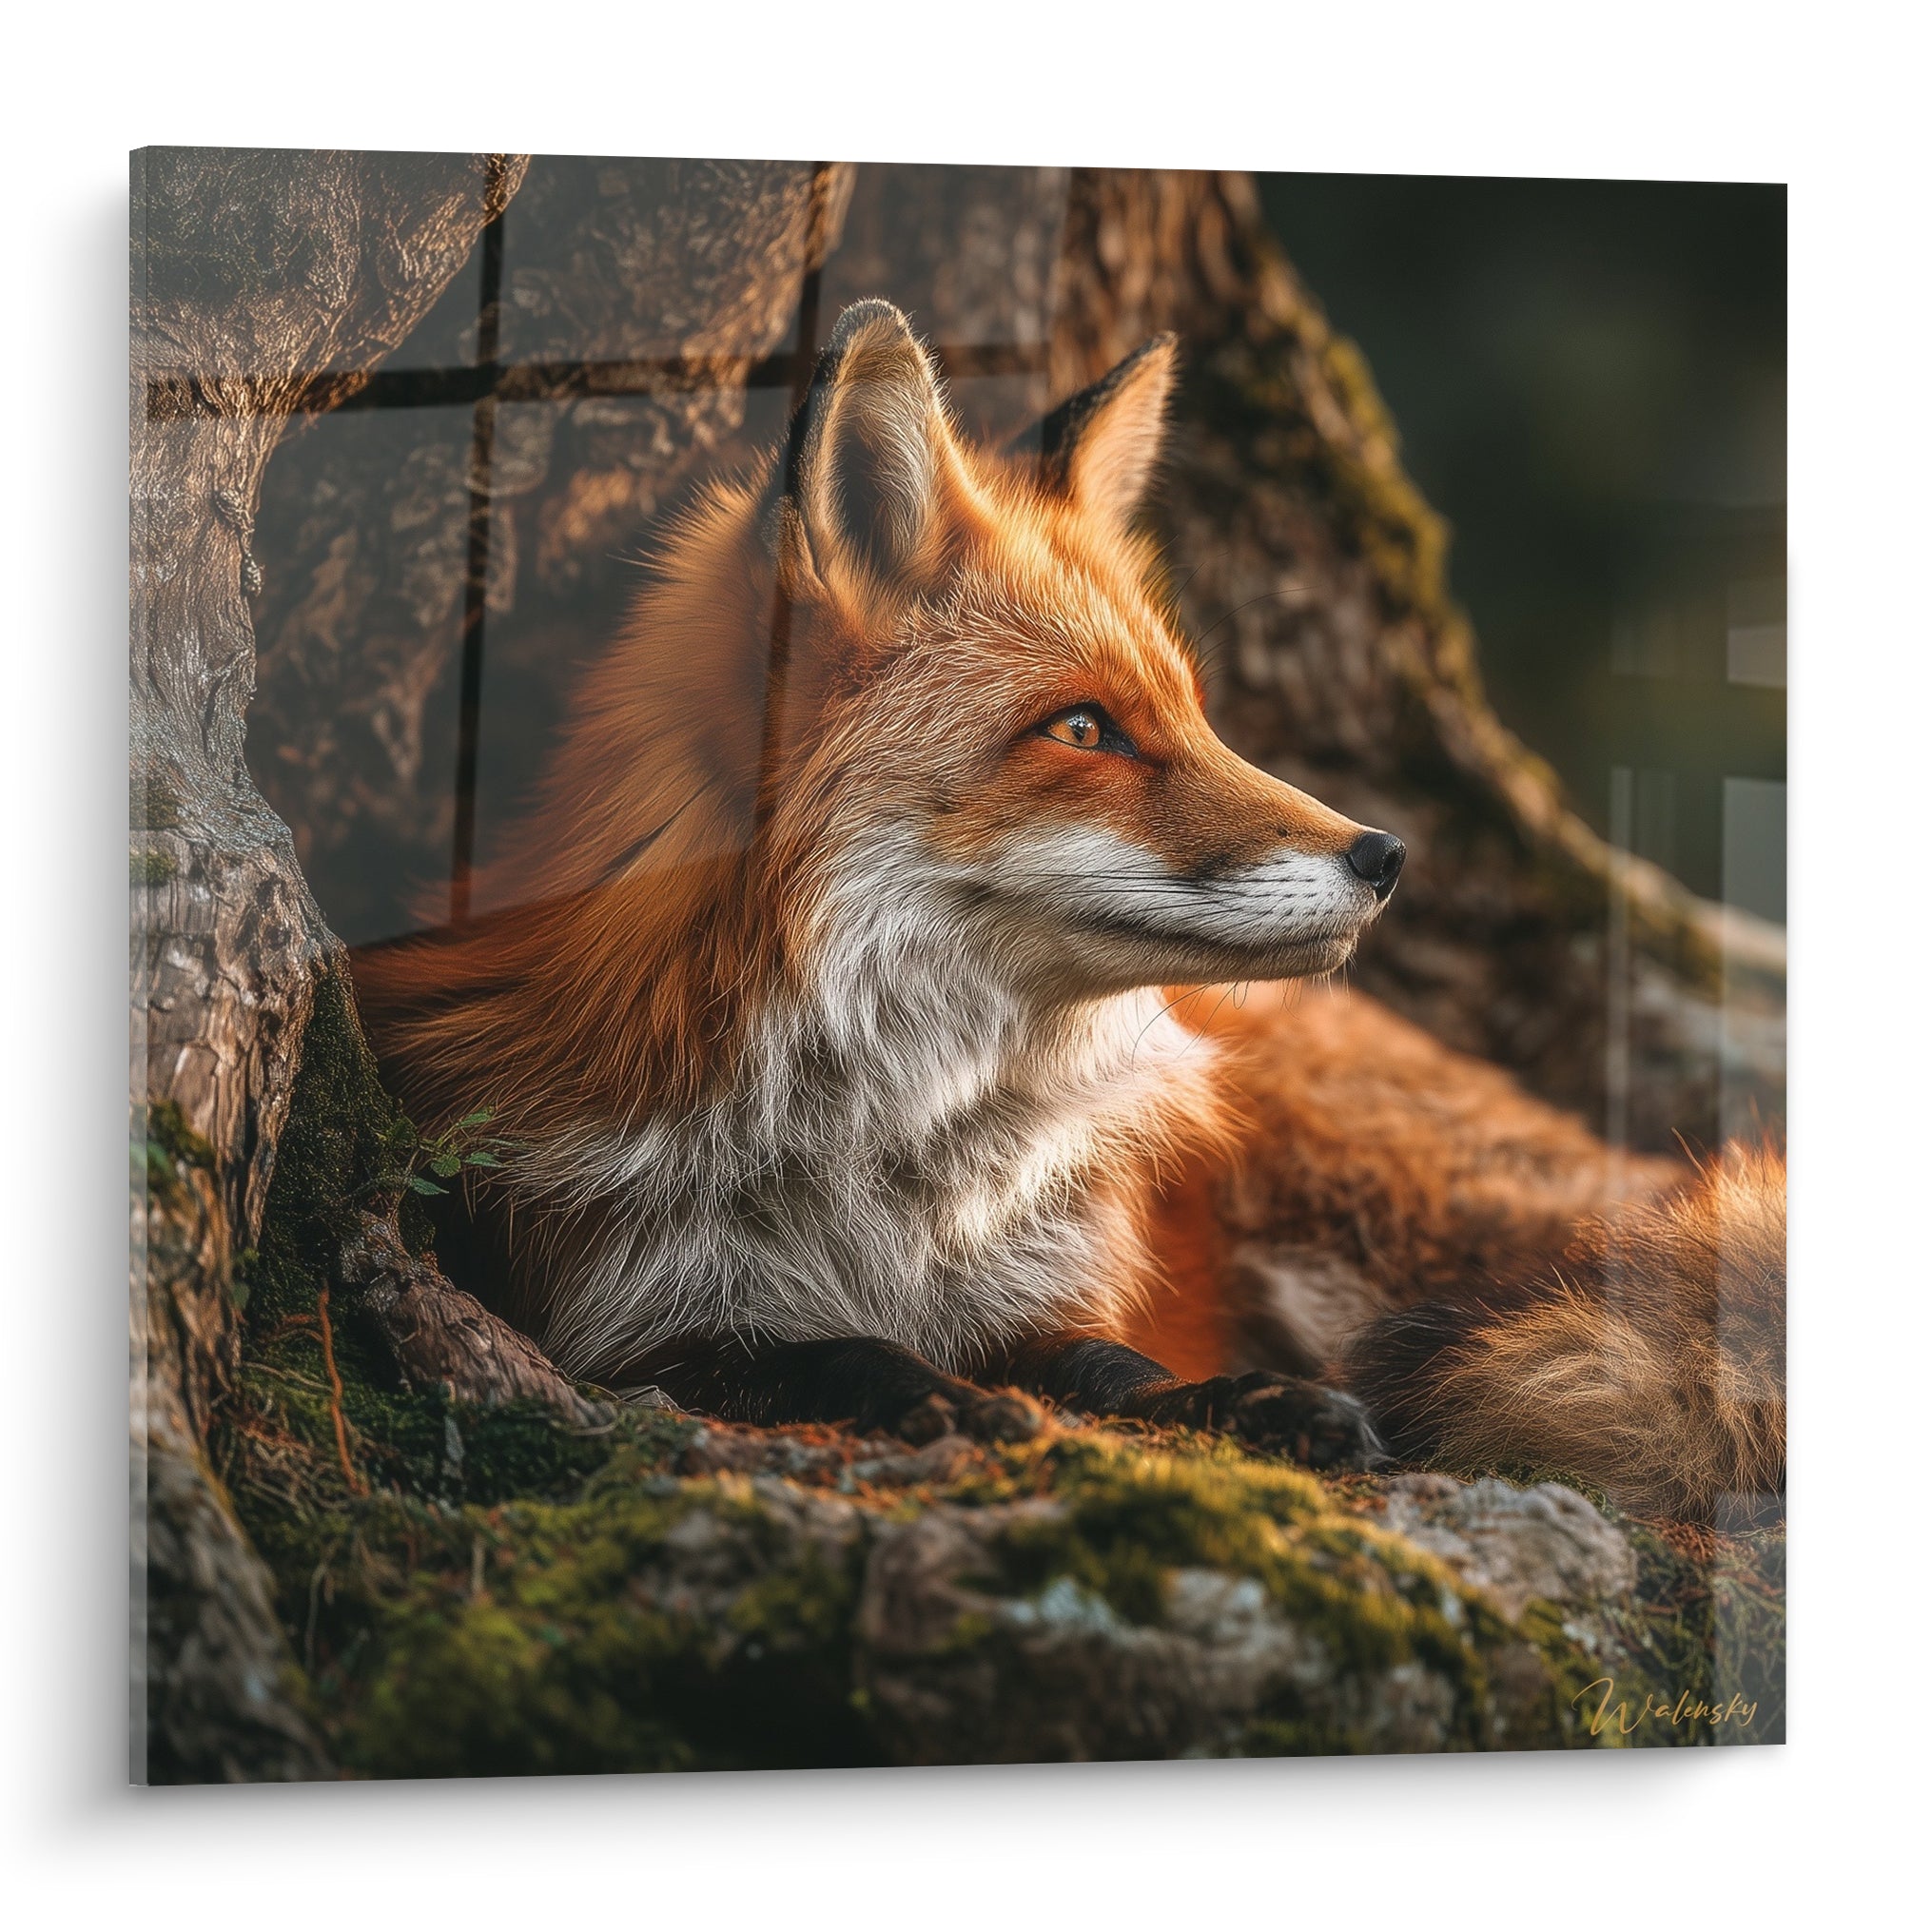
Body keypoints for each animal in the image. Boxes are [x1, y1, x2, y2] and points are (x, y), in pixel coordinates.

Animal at [354, 298, 1785, 1515]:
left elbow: (1117, 1368)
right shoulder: (617, 1312)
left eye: (1195, 715)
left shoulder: (1046, 1291)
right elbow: (828, 1355)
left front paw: (1251, 1401)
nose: (1386, 856)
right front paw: (932, 1394)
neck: (886, 1162)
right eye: (1085, 727)